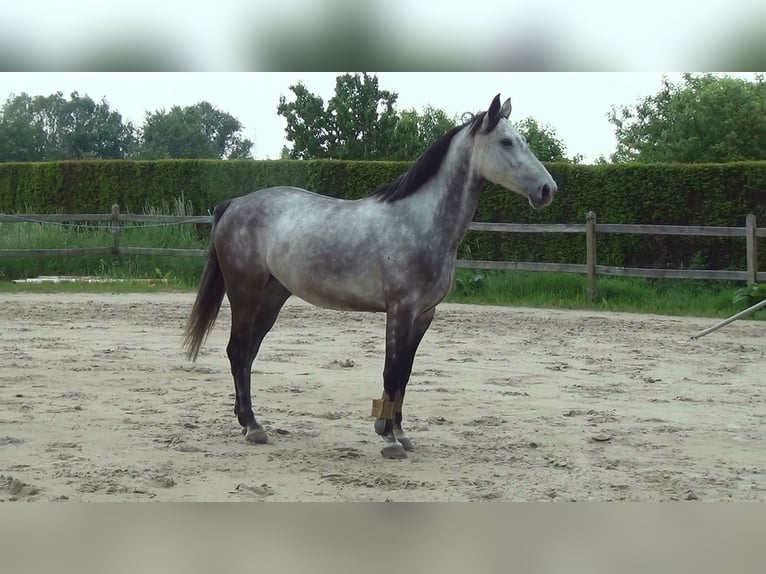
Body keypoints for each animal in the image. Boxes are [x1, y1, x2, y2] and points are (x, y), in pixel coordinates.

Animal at [183, 94, 557, 459]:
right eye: (506, 142)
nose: (548, 189)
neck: (420, 221)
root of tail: (235, 203)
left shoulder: (424, 315)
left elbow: (405, 373)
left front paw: (400, 433)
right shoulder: (400, 309)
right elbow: (391, 371)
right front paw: (389, 440)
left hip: (273, 298)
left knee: (247, 354)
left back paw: (247, 422)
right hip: (244, 293)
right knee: (237, 351)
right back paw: (252, 426)